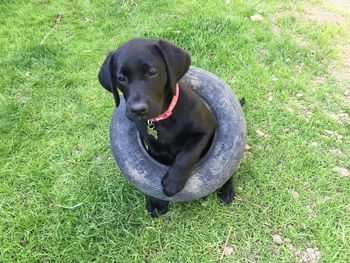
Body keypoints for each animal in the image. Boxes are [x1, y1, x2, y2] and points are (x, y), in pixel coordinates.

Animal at [98, 38, 235, 217]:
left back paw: (226, 190)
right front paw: (157, 202)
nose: (137, 110)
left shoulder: (207, 129)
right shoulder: (154, 148)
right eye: (121, 78)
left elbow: (187, 155)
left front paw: (172, 182)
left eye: (152, 72)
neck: (162, 119)